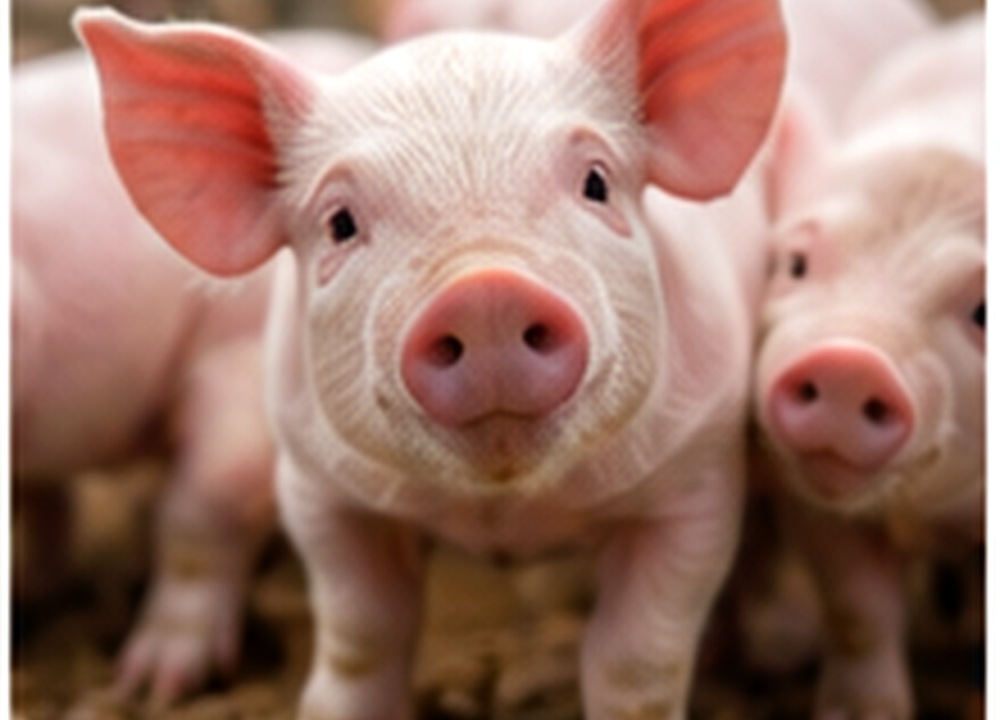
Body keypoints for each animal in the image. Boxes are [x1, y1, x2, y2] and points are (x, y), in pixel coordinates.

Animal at [74, 0, 787, 718]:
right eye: (339, 222)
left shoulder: (695, 480)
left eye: (596, 183)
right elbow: (362, 634)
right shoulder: (317, 486)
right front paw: (153, 692)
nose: (486, 291)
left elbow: (637, 659)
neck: (504, 512)